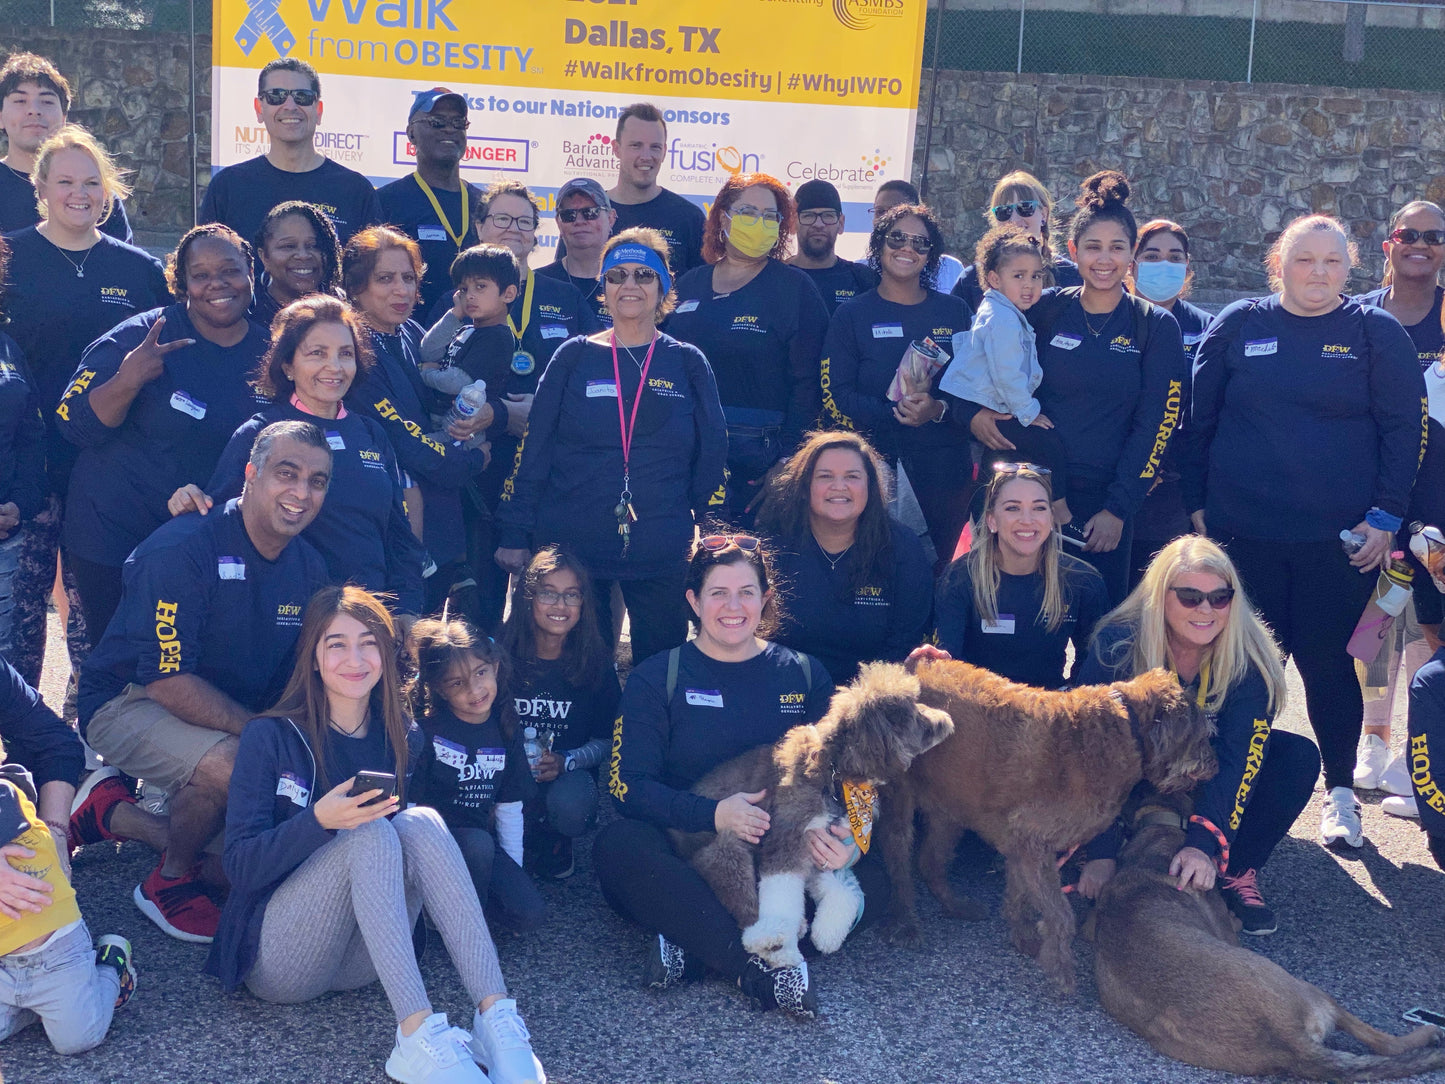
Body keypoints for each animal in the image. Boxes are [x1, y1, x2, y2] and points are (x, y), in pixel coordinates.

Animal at [667, 667, 959, 971]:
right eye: (913, 714)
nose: (946, 719)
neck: (835, 775)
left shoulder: (823, 845)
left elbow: (844, 890)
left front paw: (827, 933)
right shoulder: (786, 840)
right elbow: (781, 897)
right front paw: (784, 939)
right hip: (725, 846)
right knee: (744, 905)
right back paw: (775, 945)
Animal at [878, 659, 1219, 1000]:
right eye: (1202, 736)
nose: (1213, 767)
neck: (1124, 728)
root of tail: (909, 666)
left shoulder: (1022, 847)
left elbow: (1019, 895)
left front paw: (1024, 936)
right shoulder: (1031, 843)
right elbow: (1061, 914)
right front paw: (1061, 970)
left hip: (951, 805)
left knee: (930, 862)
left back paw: (956, 906)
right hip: (902, 795)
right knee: (898, 862)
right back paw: (906, 924)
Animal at [1086, 797, 1445, 1084]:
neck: (1153, 835)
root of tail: (1291, 1047)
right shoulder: (1226, 931)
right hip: (1314, 992)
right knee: (1384, 1042)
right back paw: (1427, 1034)